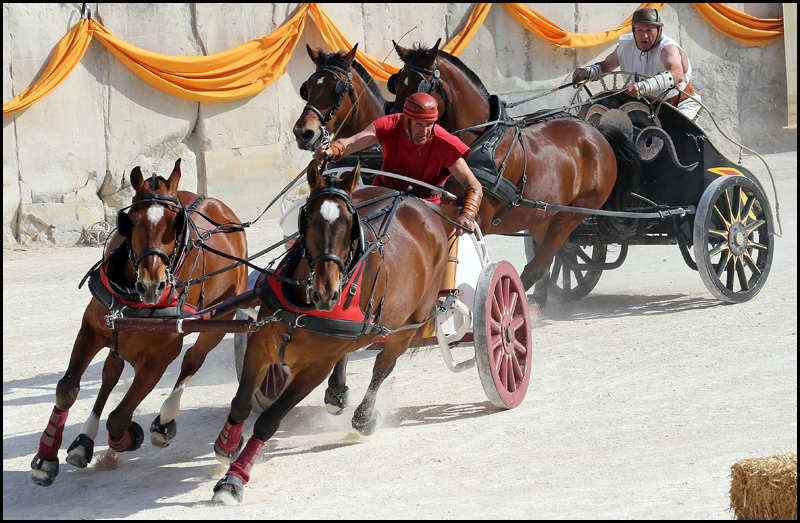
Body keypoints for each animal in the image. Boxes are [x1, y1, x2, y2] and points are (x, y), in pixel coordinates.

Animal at [30, 159, 247, 488]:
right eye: (130, 222)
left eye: (175, 223)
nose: (151, 285)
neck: (135, 300)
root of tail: (216, 204)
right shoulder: (92, 330)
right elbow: (67, 389)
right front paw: (46, 459)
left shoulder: (158, 359)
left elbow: (119, 417)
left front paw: (129, 436)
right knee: (109, 374)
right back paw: (84, 440)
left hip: (221, 319)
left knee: (193, 360)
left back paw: (165, 421)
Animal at [211, 159, 450, 504]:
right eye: (307, 220)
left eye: (351, 226)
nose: (328, 292)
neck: (304, 310)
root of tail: (413, 199)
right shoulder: (260, 344)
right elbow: (241, 402)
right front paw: (227, 447)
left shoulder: (314, 368)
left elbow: (269, 421)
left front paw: (234, 479)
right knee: (351, 351)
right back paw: (337, 393)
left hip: (408, 325)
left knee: (382, 367)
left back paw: (364, 417)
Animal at [390, 41, 640, 312]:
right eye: (397, 82)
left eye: (419, 87)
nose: (397, 124)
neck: (481, 141)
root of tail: (596, 132)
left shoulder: (477, 218)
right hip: (541, 216)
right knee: (548, 261)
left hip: (570, 216)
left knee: (538, 264)